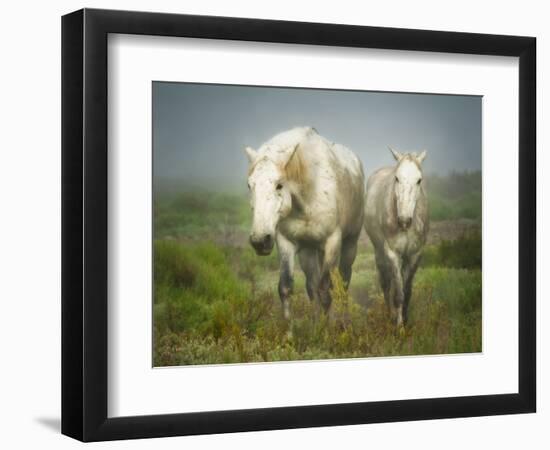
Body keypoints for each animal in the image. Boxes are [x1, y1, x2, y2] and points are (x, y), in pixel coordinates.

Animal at [246, 125, 366, 318]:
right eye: (250, 185)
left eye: (279, 185)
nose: (259, 240)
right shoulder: (285, 242)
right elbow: (286, 288)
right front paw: (293, 328)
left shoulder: (333, 242)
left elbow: (325, 292)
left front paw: (326, 327)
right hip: (308, 251)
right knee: (312, 286)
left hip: (350, 244)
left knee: (344, 283)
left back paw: (344, 320)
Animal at [366, 148, 432, 326]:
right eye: (396, 178)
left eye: (419, 180)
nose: (404, 220)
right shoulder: (392, 253)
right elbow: (398, 294)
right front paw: (399, 326)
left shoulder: (415, 254)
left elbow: (407, 291)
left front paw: (406, 321)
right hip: (379, 252)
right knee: (386, 283)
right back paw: (389, 314)